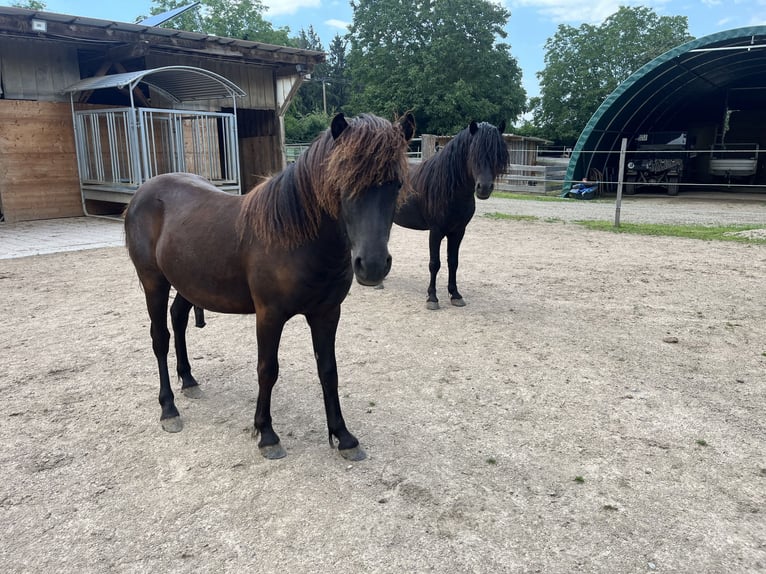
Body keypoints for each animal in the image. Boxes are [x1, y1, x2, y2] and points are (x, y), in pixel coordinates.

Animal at [124, 113, 414, 464]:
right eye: (344, 182)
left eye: (396, 184)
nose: (372, 266)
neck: (295, 237)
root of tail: (143, 192)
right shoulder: (269, 315)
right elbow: (268, 370)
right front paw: (266, 434)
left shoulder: (327, 314)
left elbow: (329, 371)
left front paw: (344, 437)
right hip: (153, 281)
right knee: (160, 338)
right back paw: (169, 409)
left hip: (188, 282)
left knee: (178, 319)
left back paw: (189, 381)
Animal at [396, 121, 510, 310]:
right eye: (473, 153)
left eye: (497, 155)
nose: (484, 188)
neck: (448, 187)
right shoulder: (435, 231)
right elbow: (434, 263)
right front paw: (432, 298)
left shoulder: (458, 232)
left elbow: (453, 262)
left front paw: (455, 294)